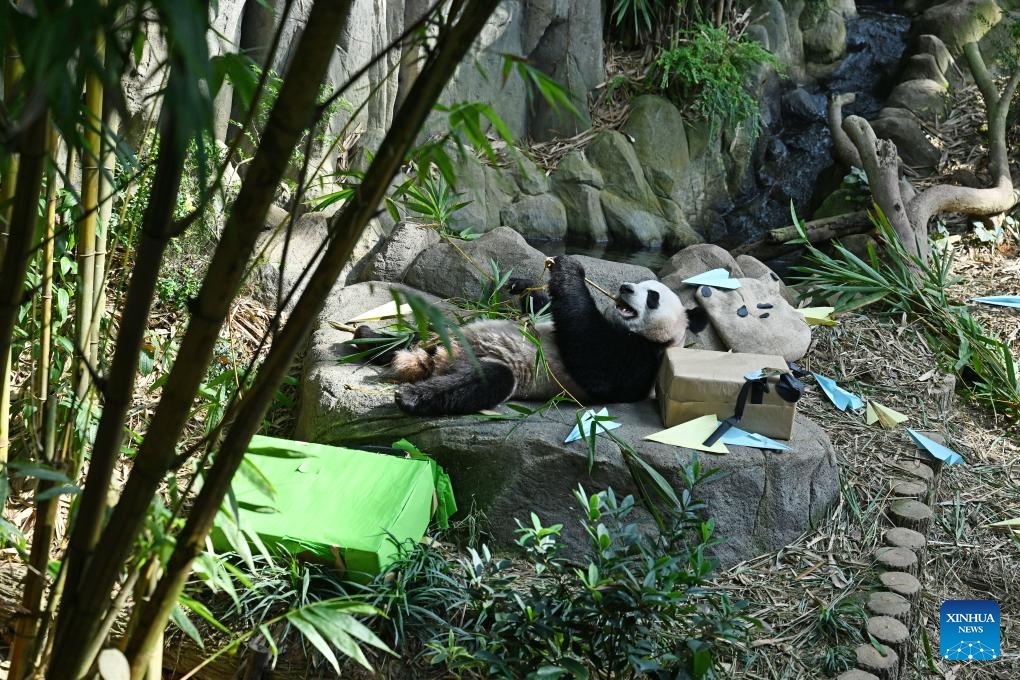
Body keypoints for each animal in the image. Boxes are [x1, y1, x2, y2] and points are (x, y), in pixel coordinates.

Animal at [391, 255, 708, 416]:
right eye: (640, 284)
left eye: (653, 297)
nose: (626, 288)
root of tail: (439, 359)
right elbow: (547, 311)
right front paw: (522, 284)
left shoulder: (640, 362)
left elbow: (594, 357)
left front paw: (571, 269)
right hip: (438, 334)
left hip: (483, 365)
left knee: (488, 380)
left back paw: (410, 396)